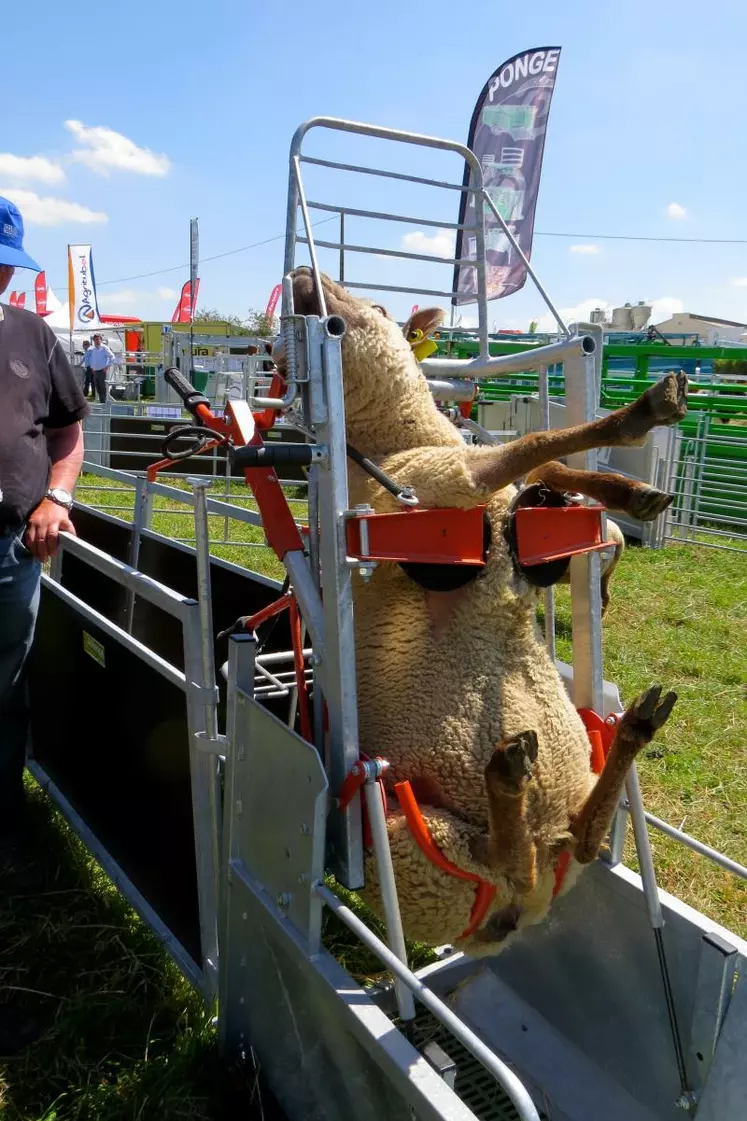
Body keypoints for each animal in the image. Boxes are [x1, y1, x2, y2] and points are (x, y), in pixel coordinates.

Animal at [278, 271, 681, 955]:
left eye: (376, 303)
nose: (303, 276)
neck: (402, 440)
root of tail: (519, 914)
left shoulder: (490, 497)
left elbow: (545, 466)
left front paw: (631, 493)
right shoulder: (440, 481)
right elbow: (531, 444)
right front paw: (639, 419)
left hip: (558, 812)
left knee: (582, 840)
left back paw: (631, 730)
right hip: (410, 836)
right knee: (505, 854)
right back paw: (509, 776)